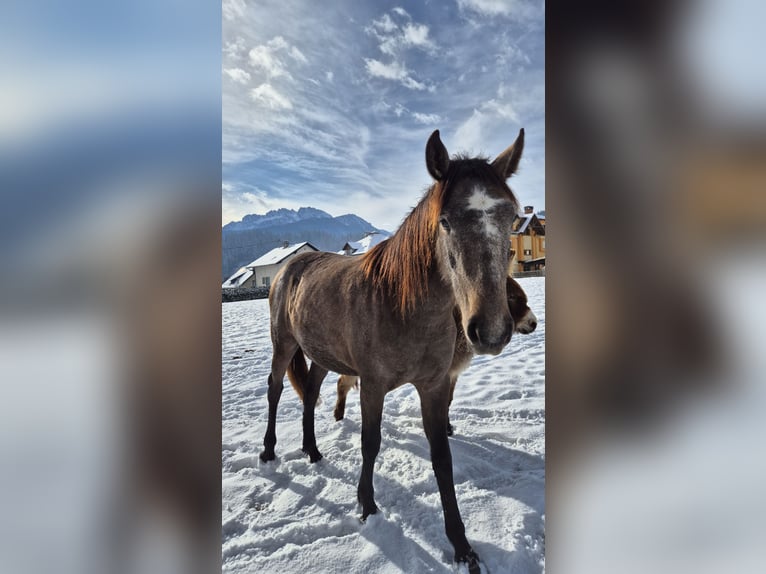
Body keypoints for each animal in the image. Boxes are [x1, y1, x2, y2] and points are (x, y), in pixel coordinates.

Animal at [330, 275, 538, 432]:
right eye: (512, 297)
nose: (534, 323)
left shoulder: (451, 373)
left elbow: (448, 401)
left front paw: (447, 428)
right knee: (342, 383)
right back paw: (339, 418)